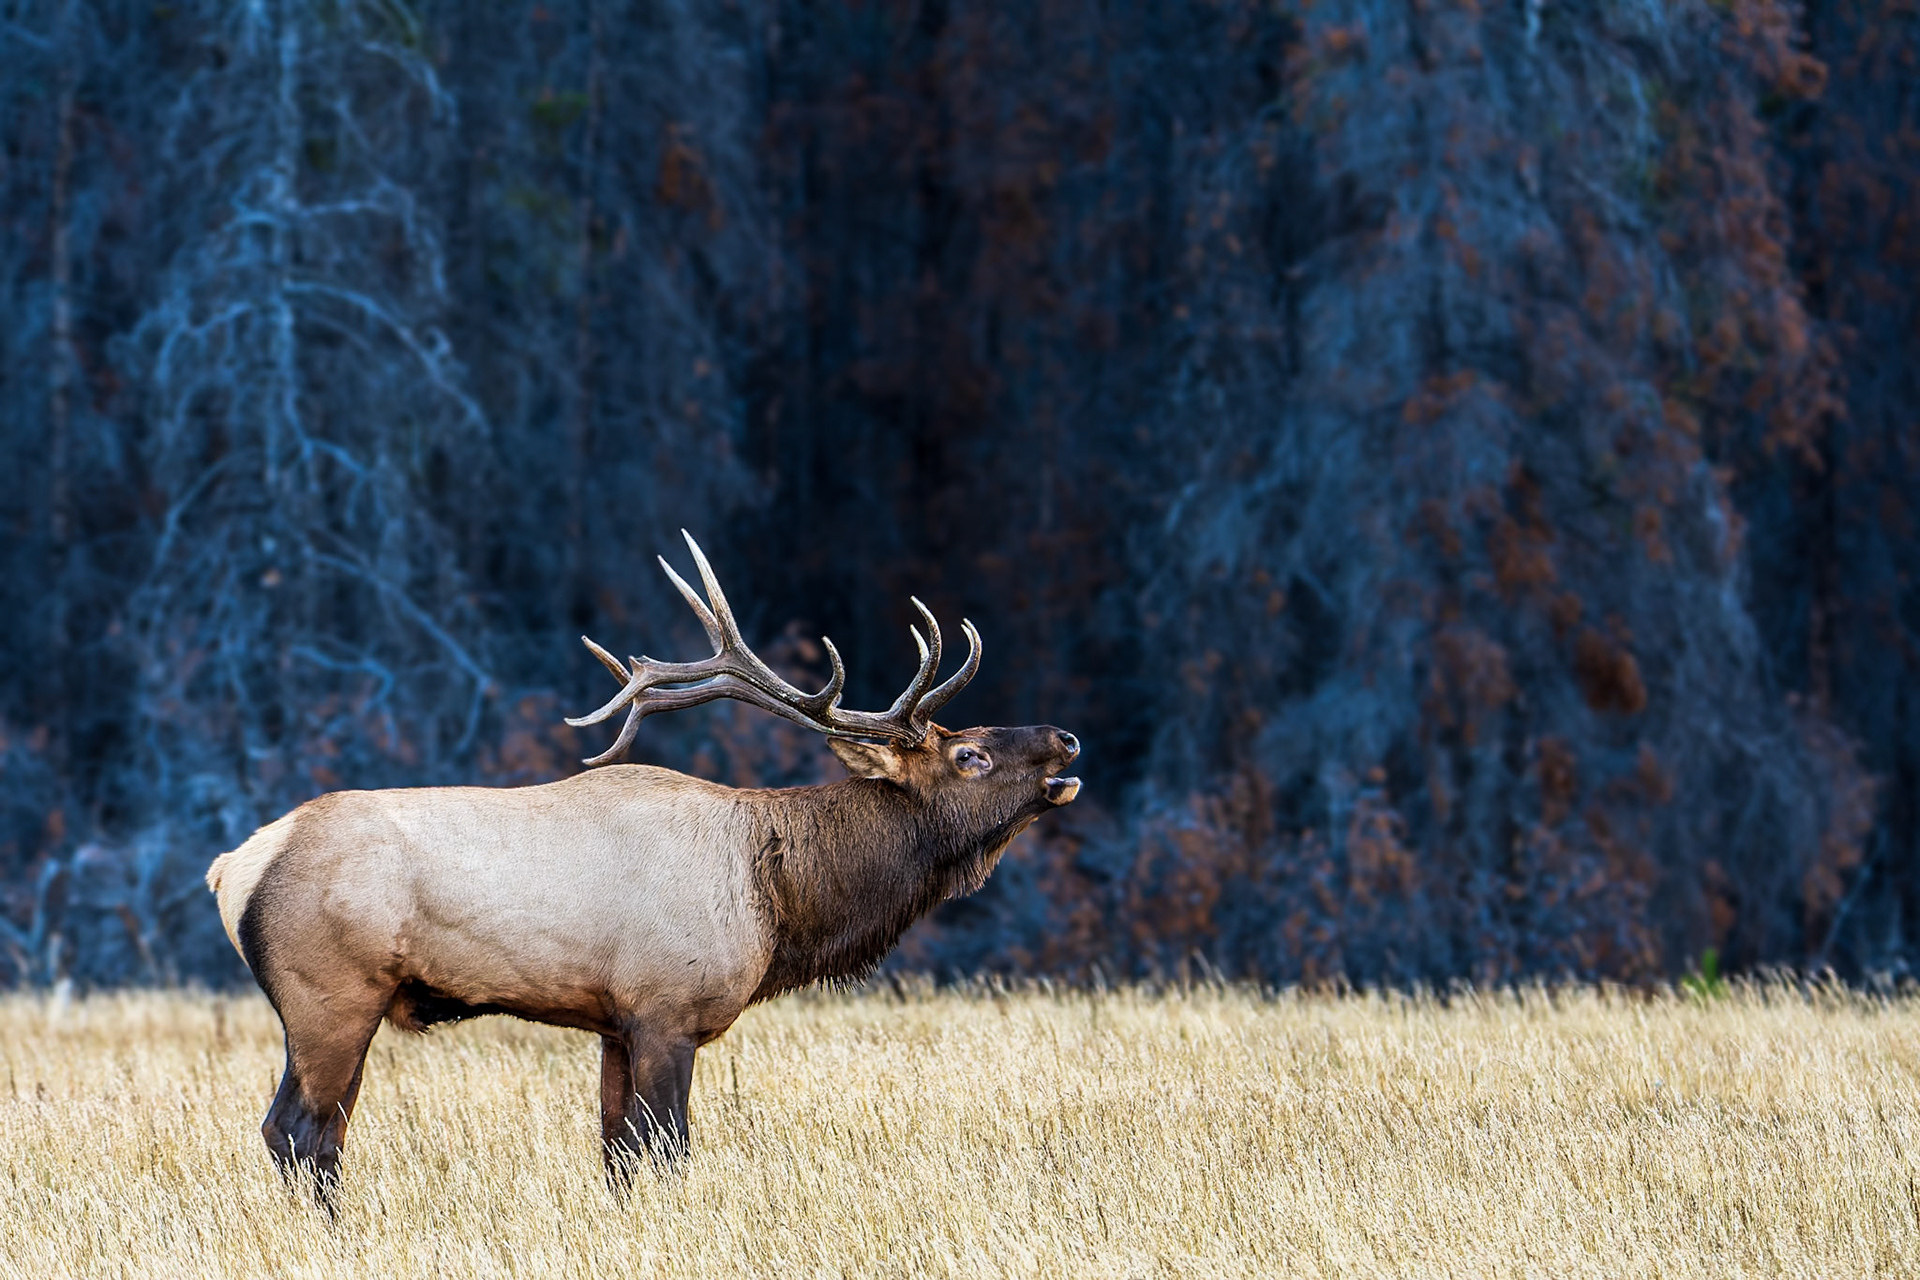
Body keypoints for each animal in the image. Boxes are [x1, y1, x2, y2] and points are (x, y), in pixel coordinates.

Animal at [205, 534, 1081, 1204]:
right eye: (969, 755)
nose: (1066, 740)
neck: (778, 897)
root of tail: (232, 866)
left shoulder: (615, 1021)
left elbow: (617, 1154)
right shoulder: (667, 1008)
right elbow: (666, 1149)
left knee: (313, 1130)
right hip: (330, 994)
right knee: (299, 1130)